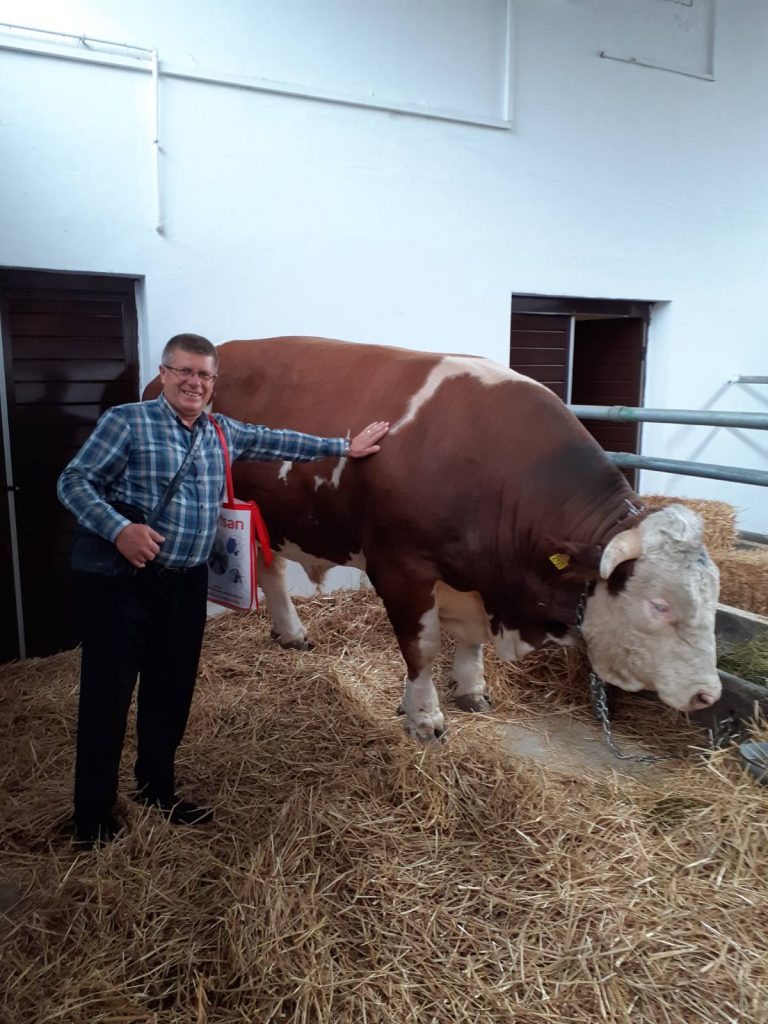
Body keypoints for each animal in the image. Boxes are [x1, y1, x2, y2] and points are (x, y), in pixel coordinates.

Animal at [145, 337, 721, 742]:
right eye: (658, 605)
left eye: (712, 601)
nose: (706, 694)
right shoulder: (402, 568)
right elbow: (421, 646)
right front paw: (424, 718)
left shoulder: (477, 576)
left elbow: (468, 642)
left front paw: (472, 690)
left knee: (269, 567)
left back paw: (291, 633)